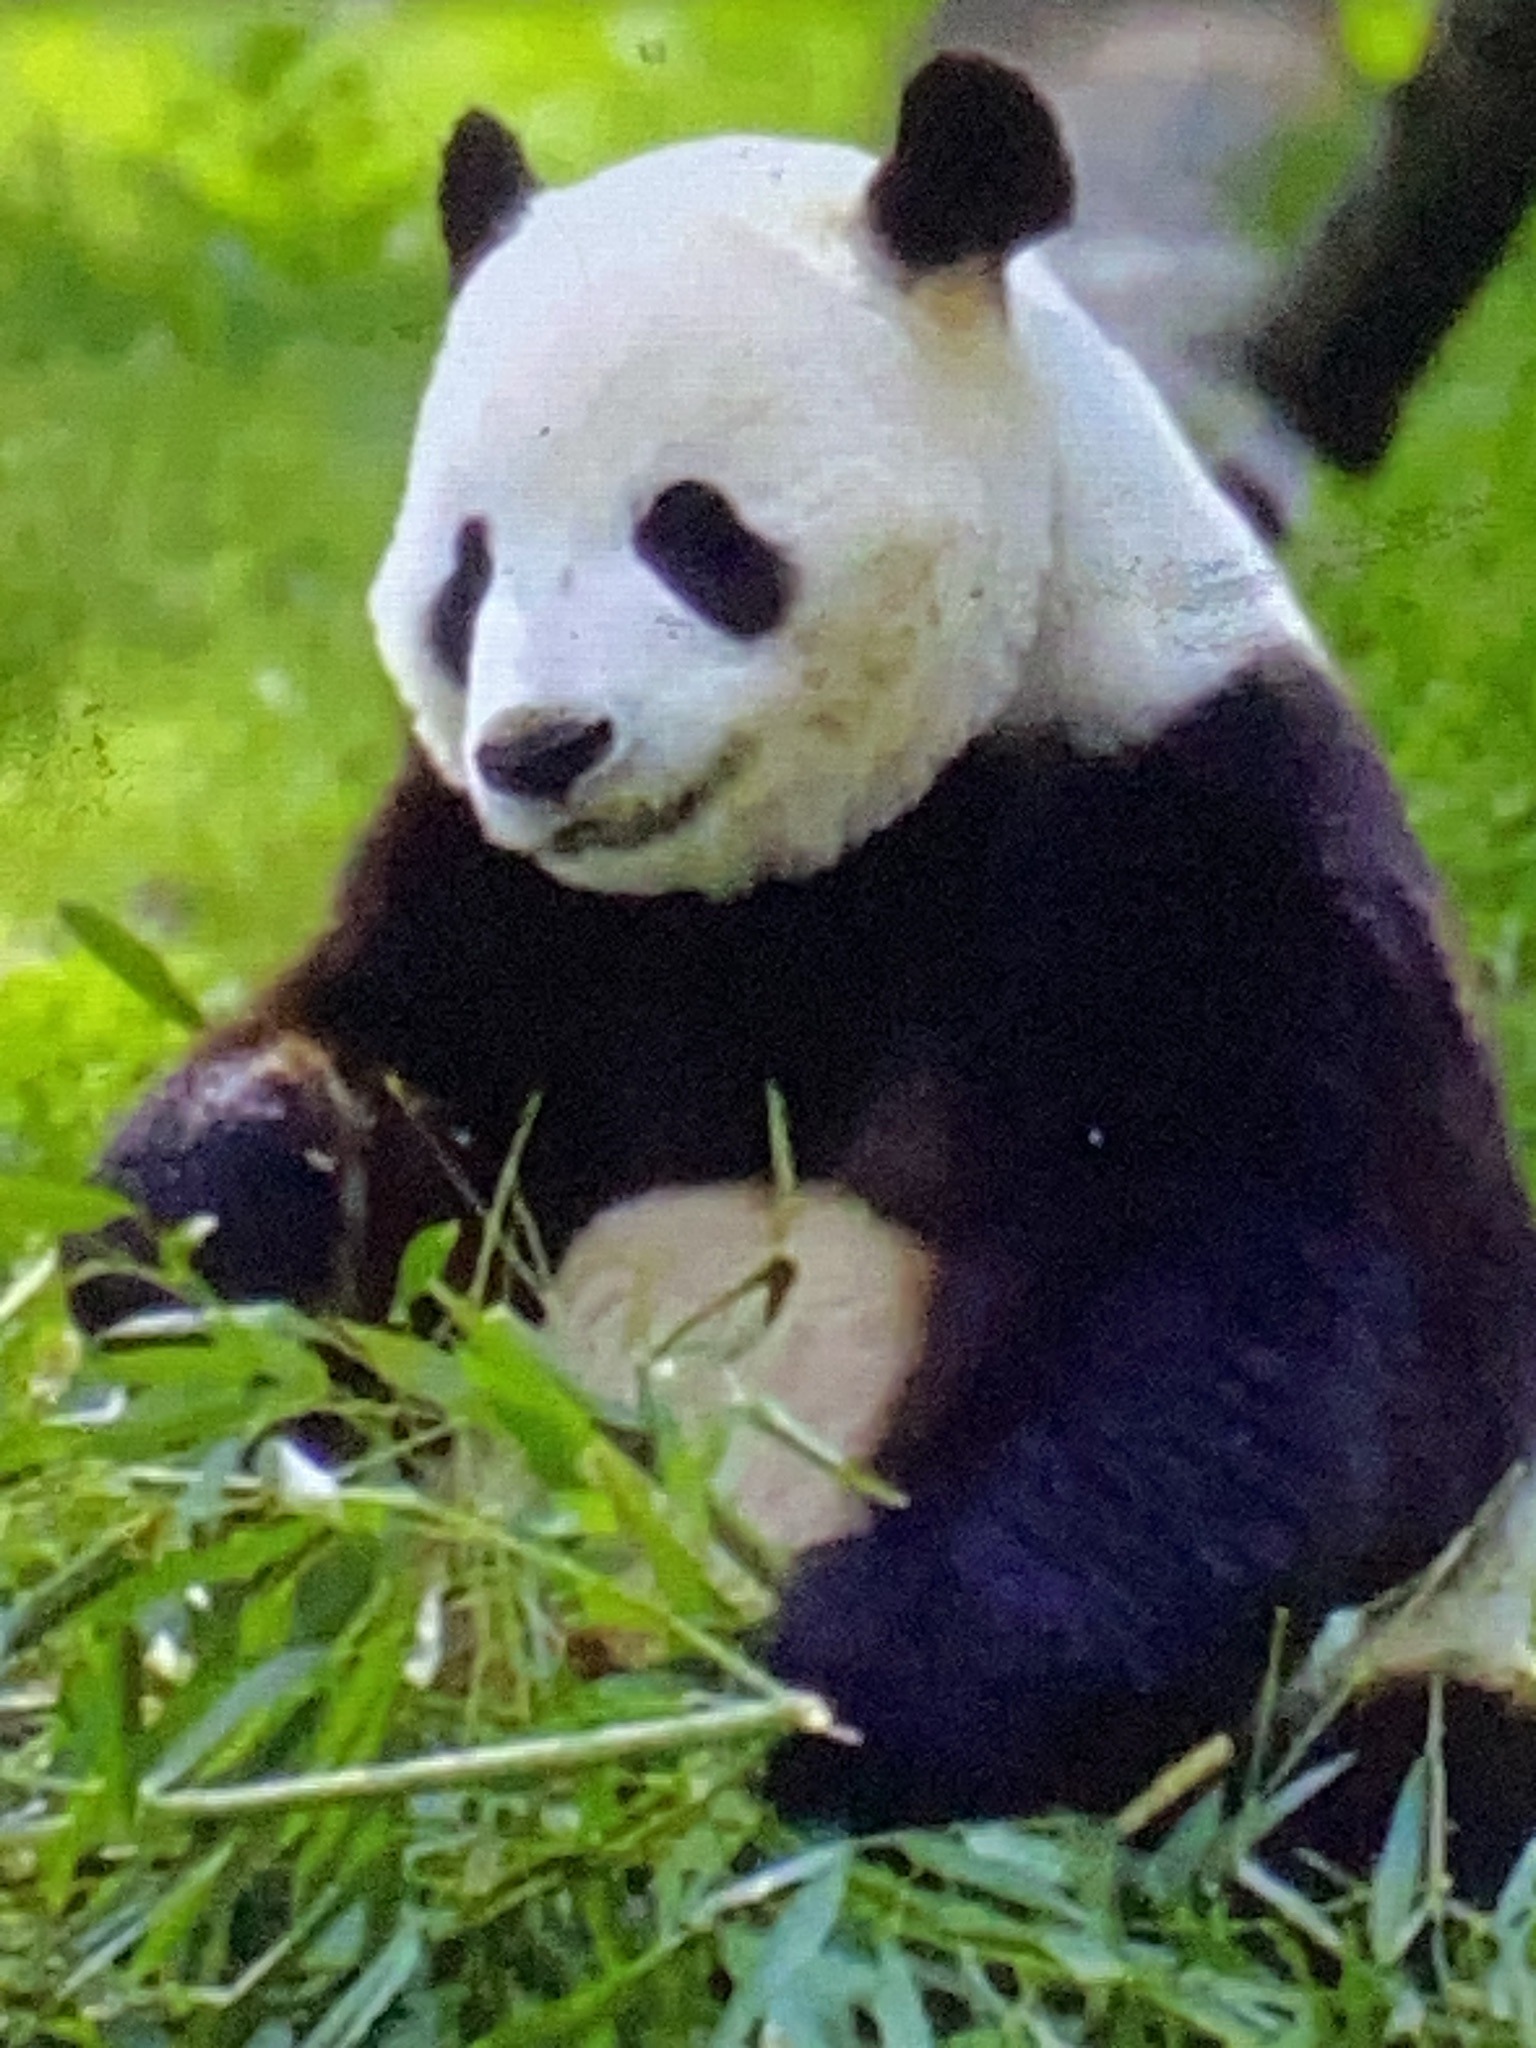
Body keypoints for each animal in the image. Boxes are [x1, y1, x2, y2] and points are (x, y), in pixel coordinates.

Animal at [75, 52, 1536, 1887]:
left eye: (695, 532)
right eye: (467, 569)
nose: (545, 747)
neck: (806, 874)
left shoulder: (1203, 832)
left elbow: (1277, 1327)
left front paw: (838, 1691)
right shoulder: (508, 903)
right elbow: (367, 1110)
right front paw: (208, 1221)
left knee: (1411, 1794)